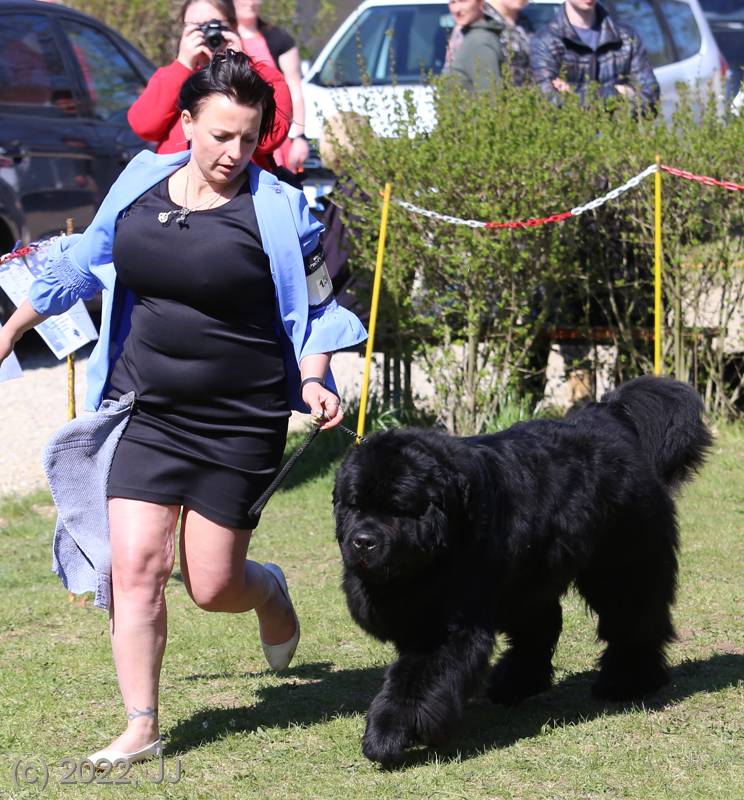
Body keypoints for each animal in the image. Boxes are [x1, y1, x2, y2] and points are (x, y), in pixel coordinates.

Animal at [332, 376, 711, 765]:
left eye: (397, 508)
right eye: (354, 505)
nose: (363, 541)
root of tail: (611, 417)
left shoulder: (446, 627)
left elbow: (415, 679)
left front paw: (389, 732)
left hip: (620, 564)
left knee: (631, 619)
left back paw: (628, 681)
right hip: (528, 578)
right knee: (540, 630)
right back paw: (515, 683)